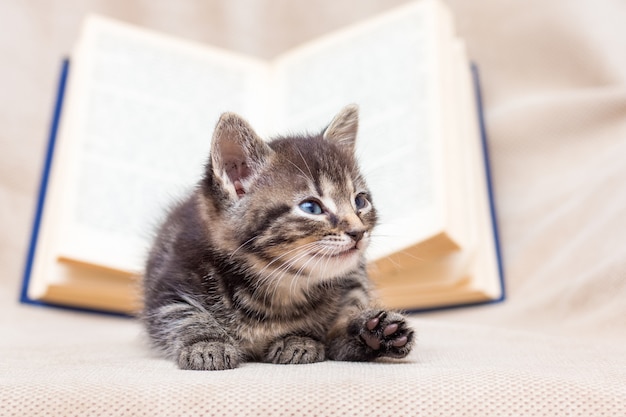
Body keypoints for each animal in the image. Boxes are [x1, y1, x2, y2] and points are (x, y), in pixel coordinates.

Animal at [142, 105, 414, 370]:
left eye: (360, 201)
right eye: (311, 207)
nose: (358, 232)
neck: (279, 283)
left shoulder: (353, 279)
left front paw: (318, 336)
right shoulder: (169, 283)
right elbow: (182, 315)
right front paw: (207, 344)